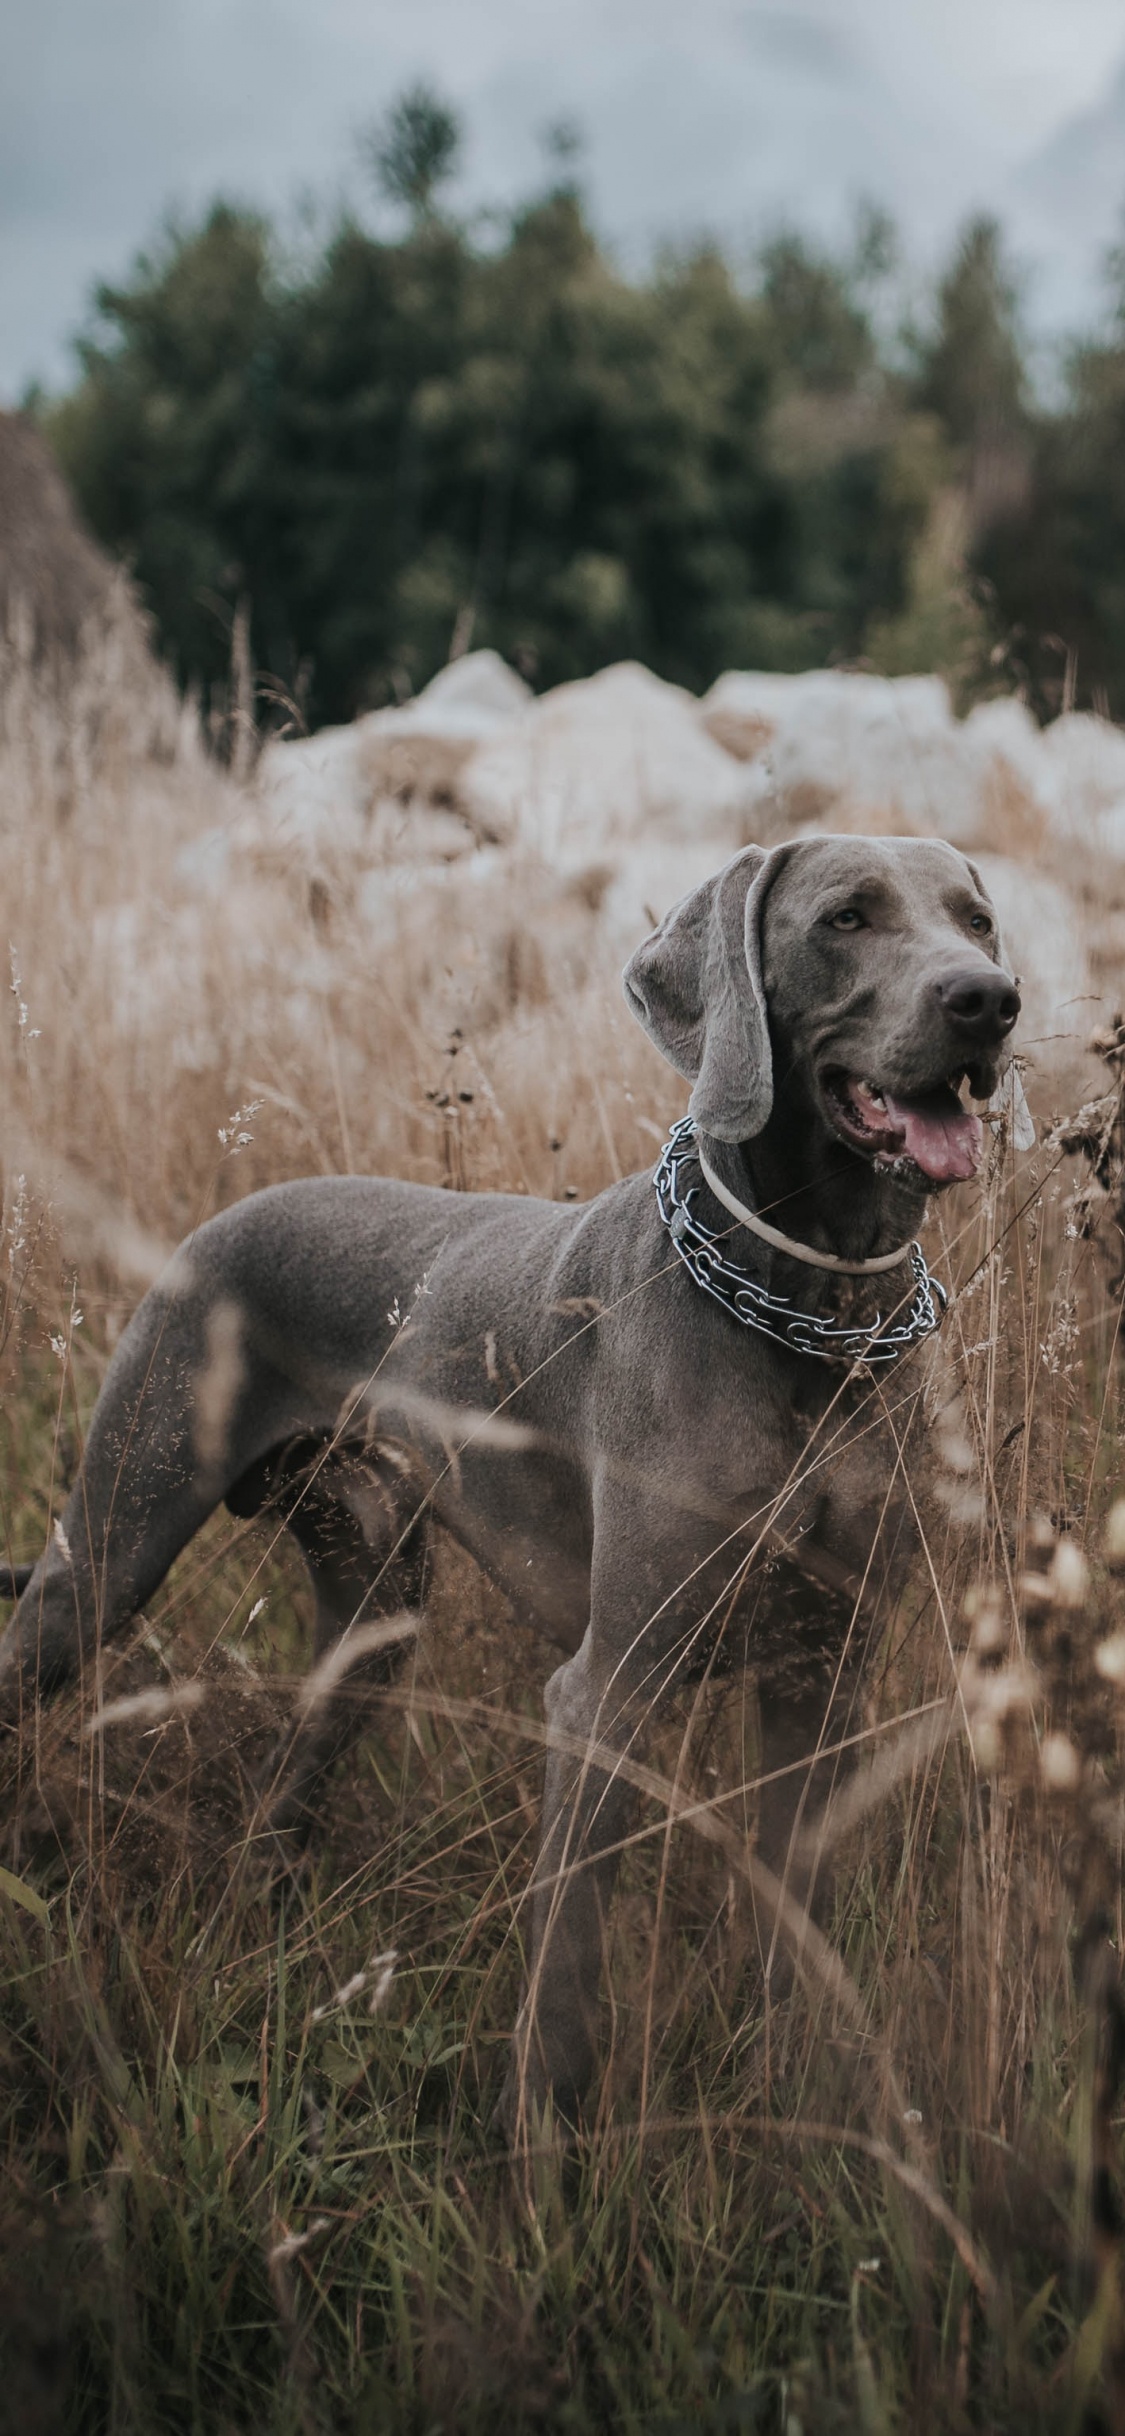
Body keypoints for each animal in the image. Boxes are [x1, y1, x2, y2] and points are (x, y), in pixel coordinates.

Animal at [0, 837, 1017, 2133]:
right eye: (846, 917)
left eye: (977, 921)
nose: (990, 1000)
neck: (814, 1318)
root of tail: (222, 1214)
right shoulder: (606, 1690)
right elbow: (567, 1972)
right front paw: (539, 2153)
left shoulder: (820, 1674)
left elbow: (799, 1931)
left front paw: (800, 2106)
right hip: (105, 1558)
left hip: (374, 1612)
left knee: (283, 1791)